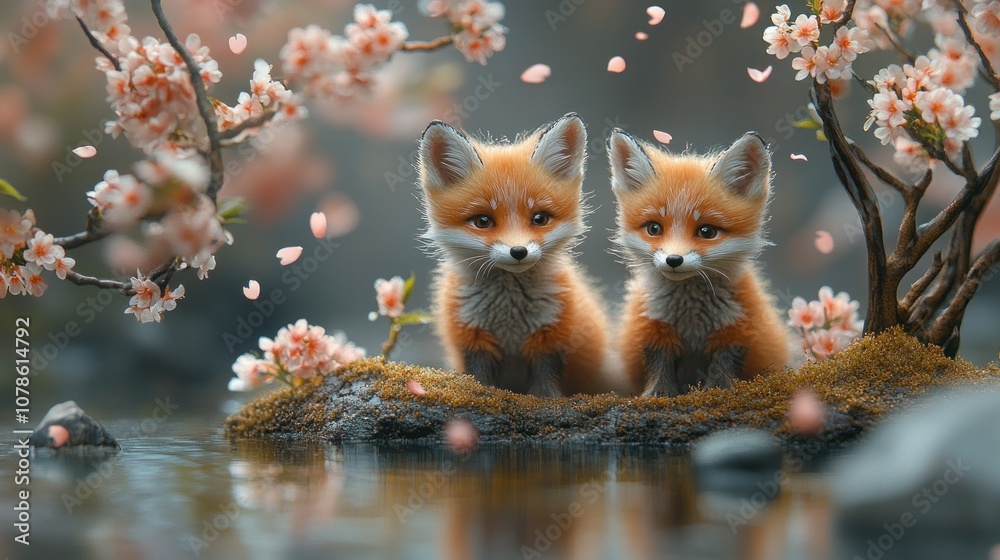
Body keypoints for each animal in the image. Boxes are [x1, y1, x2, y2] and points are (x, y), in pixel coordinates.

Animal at [417, 113, 614, 397]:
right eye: (483, 221)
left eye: (540, 218)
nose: (518, 251)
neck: (509, 318)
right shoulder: (472, 338)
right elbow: (480, 380)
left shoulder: (551, 335)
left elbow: (545, 385)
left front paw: (546, 399)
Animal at [607, 130, 790, 397]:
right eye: (654, 228)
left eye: (706, 231)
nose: (673, 259)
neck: (691, 319)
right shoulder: (652, 328)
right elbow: (659, 365)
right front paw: (658, 393)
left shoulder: (737, 328)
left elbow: (724, 364)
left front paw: (720, 391)